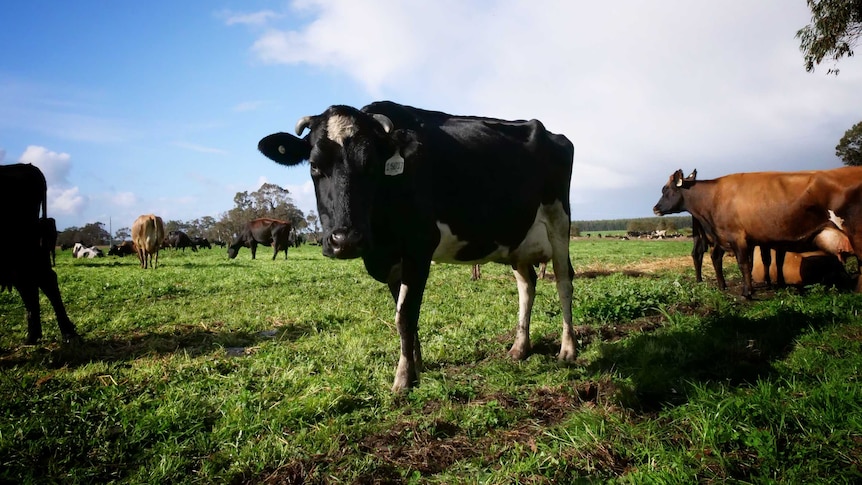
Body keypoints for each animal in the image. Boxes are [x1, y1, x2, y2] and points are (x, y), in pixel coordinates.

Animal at [260, 100, 576, 392]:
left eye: (371, 165)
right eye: (314, 166)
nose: (345, 241)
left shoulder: (419, 248)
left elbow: (405, 315)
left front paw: (402, 378)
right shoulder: (392, 260)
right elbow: (403, 313)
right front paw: (417, 365)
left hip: (559, 222)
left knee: (564, 282)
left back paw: (568, 350)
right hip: (516, 239)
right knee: (527, 284)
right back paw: (519, 348)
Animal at [656, 170, 856, 298]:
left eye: (666, 190)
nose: (655, 208)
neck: (713, 197)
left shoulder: (744, 239)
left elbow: (748, 264)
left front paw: (752, 289)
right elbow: (753, 263)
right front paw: (758, 287)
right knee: (704, 255)